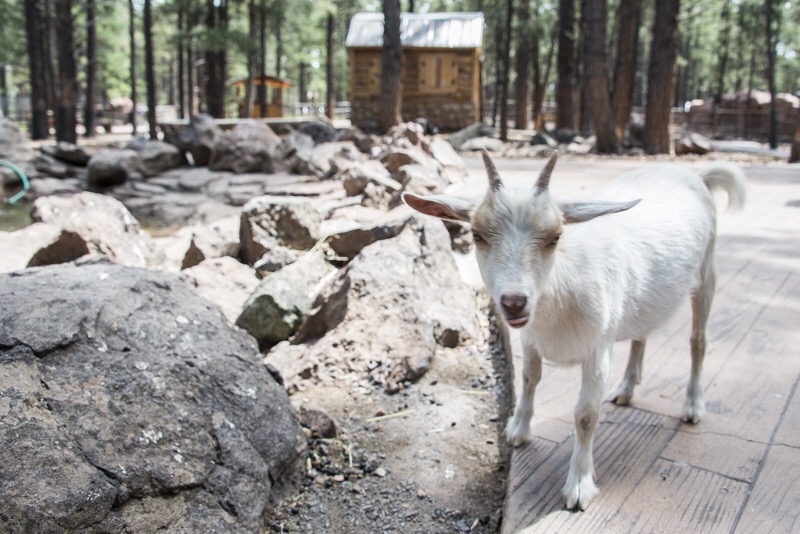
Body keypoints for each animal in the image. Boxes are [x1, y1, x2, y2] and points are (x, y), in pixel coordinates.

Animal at [403, 150, 746, 510]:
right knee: (641, 333)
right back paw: (627, 388)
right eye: (477, 235)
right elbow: (529, 379)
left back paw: (693, 405)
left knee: (698, 341)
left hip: (707, 274)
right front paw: (518, 430)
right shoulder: (530, 339)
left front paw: (579, 487)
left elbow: (585, 415)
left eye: (555, 237)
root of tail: (695, 175)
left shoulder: (598, 350)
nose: (514, 303)